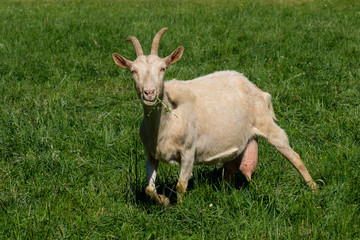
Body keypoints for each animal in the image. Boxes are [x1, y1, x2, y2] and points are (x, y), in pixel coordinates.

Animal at [112, 27, 318, 204]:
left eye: (163, 68)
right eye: (133, 71)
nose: (149, 93)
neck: (166, 122)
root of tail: (256, 89)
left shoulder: (188, 151)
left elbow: (181, 185)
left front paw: (180, 210)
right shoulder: (150, 154)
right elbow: (148, 188)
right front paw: (163, 200)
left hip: (266, 122)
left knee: (293, 155)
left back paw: (313, 187)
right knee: (230, 169)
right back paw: (225, 194)